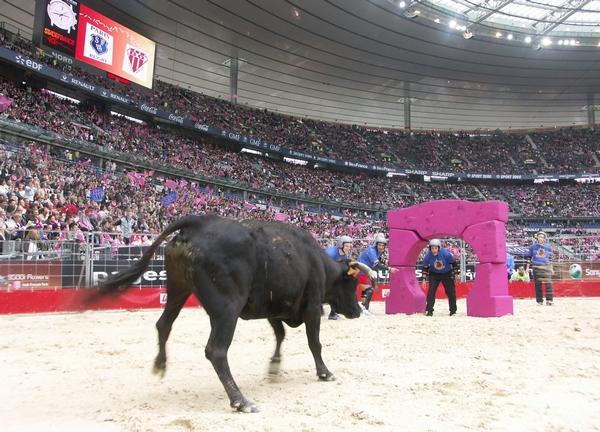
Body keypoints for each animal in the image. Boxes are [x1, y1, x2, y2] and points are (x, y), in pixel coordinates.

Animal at [92, 215, 370, 412]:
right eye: (353, 284)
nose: (357, 310)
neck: (318, 261)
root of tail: (200, 222)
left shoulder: (273, 307)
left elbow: (280, 335)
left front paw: (274, 366)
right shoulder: (312, 307)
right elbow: (315, 343)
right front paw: (324, 372)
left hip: (178, 289)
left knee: (163, 325)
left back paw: (160, 364)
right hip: (227, 309)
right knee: (216, 350)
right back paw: (240, 400)